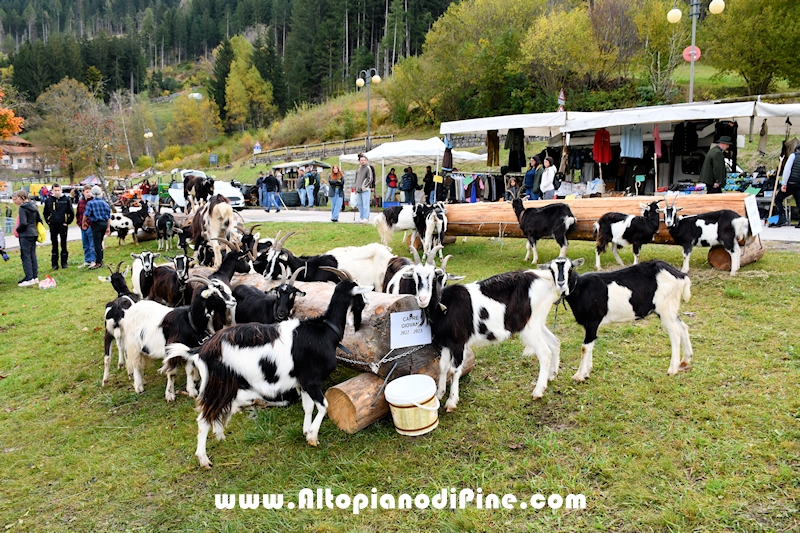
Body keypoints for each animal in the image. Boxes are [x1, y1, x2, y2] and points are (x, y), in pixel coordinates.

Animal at [167, 266, 374, 466]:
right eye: (359, 293)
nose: (367, 304)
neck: (325, 331)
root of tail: (201, 350)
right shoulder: (313, 380)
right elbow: (324, 406)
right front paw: (313, 437)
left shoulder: (302, 382)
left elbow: (307, 407)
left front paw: (306, 431)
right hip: (218, 383)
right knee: (203, 418)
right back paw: (203, 459)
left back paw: (220, 436)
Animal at [548, 258, 692, 382]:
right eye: (551, 270)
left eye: (570, 268)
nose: (561, 284)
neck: (581, 289)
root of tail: (680, 275)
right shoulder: (590, 325)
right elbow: (591, 344)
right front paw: (587, 371)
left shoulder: (592, 321)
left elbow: (585, 347)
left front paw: (579, 375)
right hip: (671, 308)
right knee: (683, 327)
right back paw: (685, 360)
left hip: (665, 308)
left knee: (675, 333)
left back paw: (672, 369)